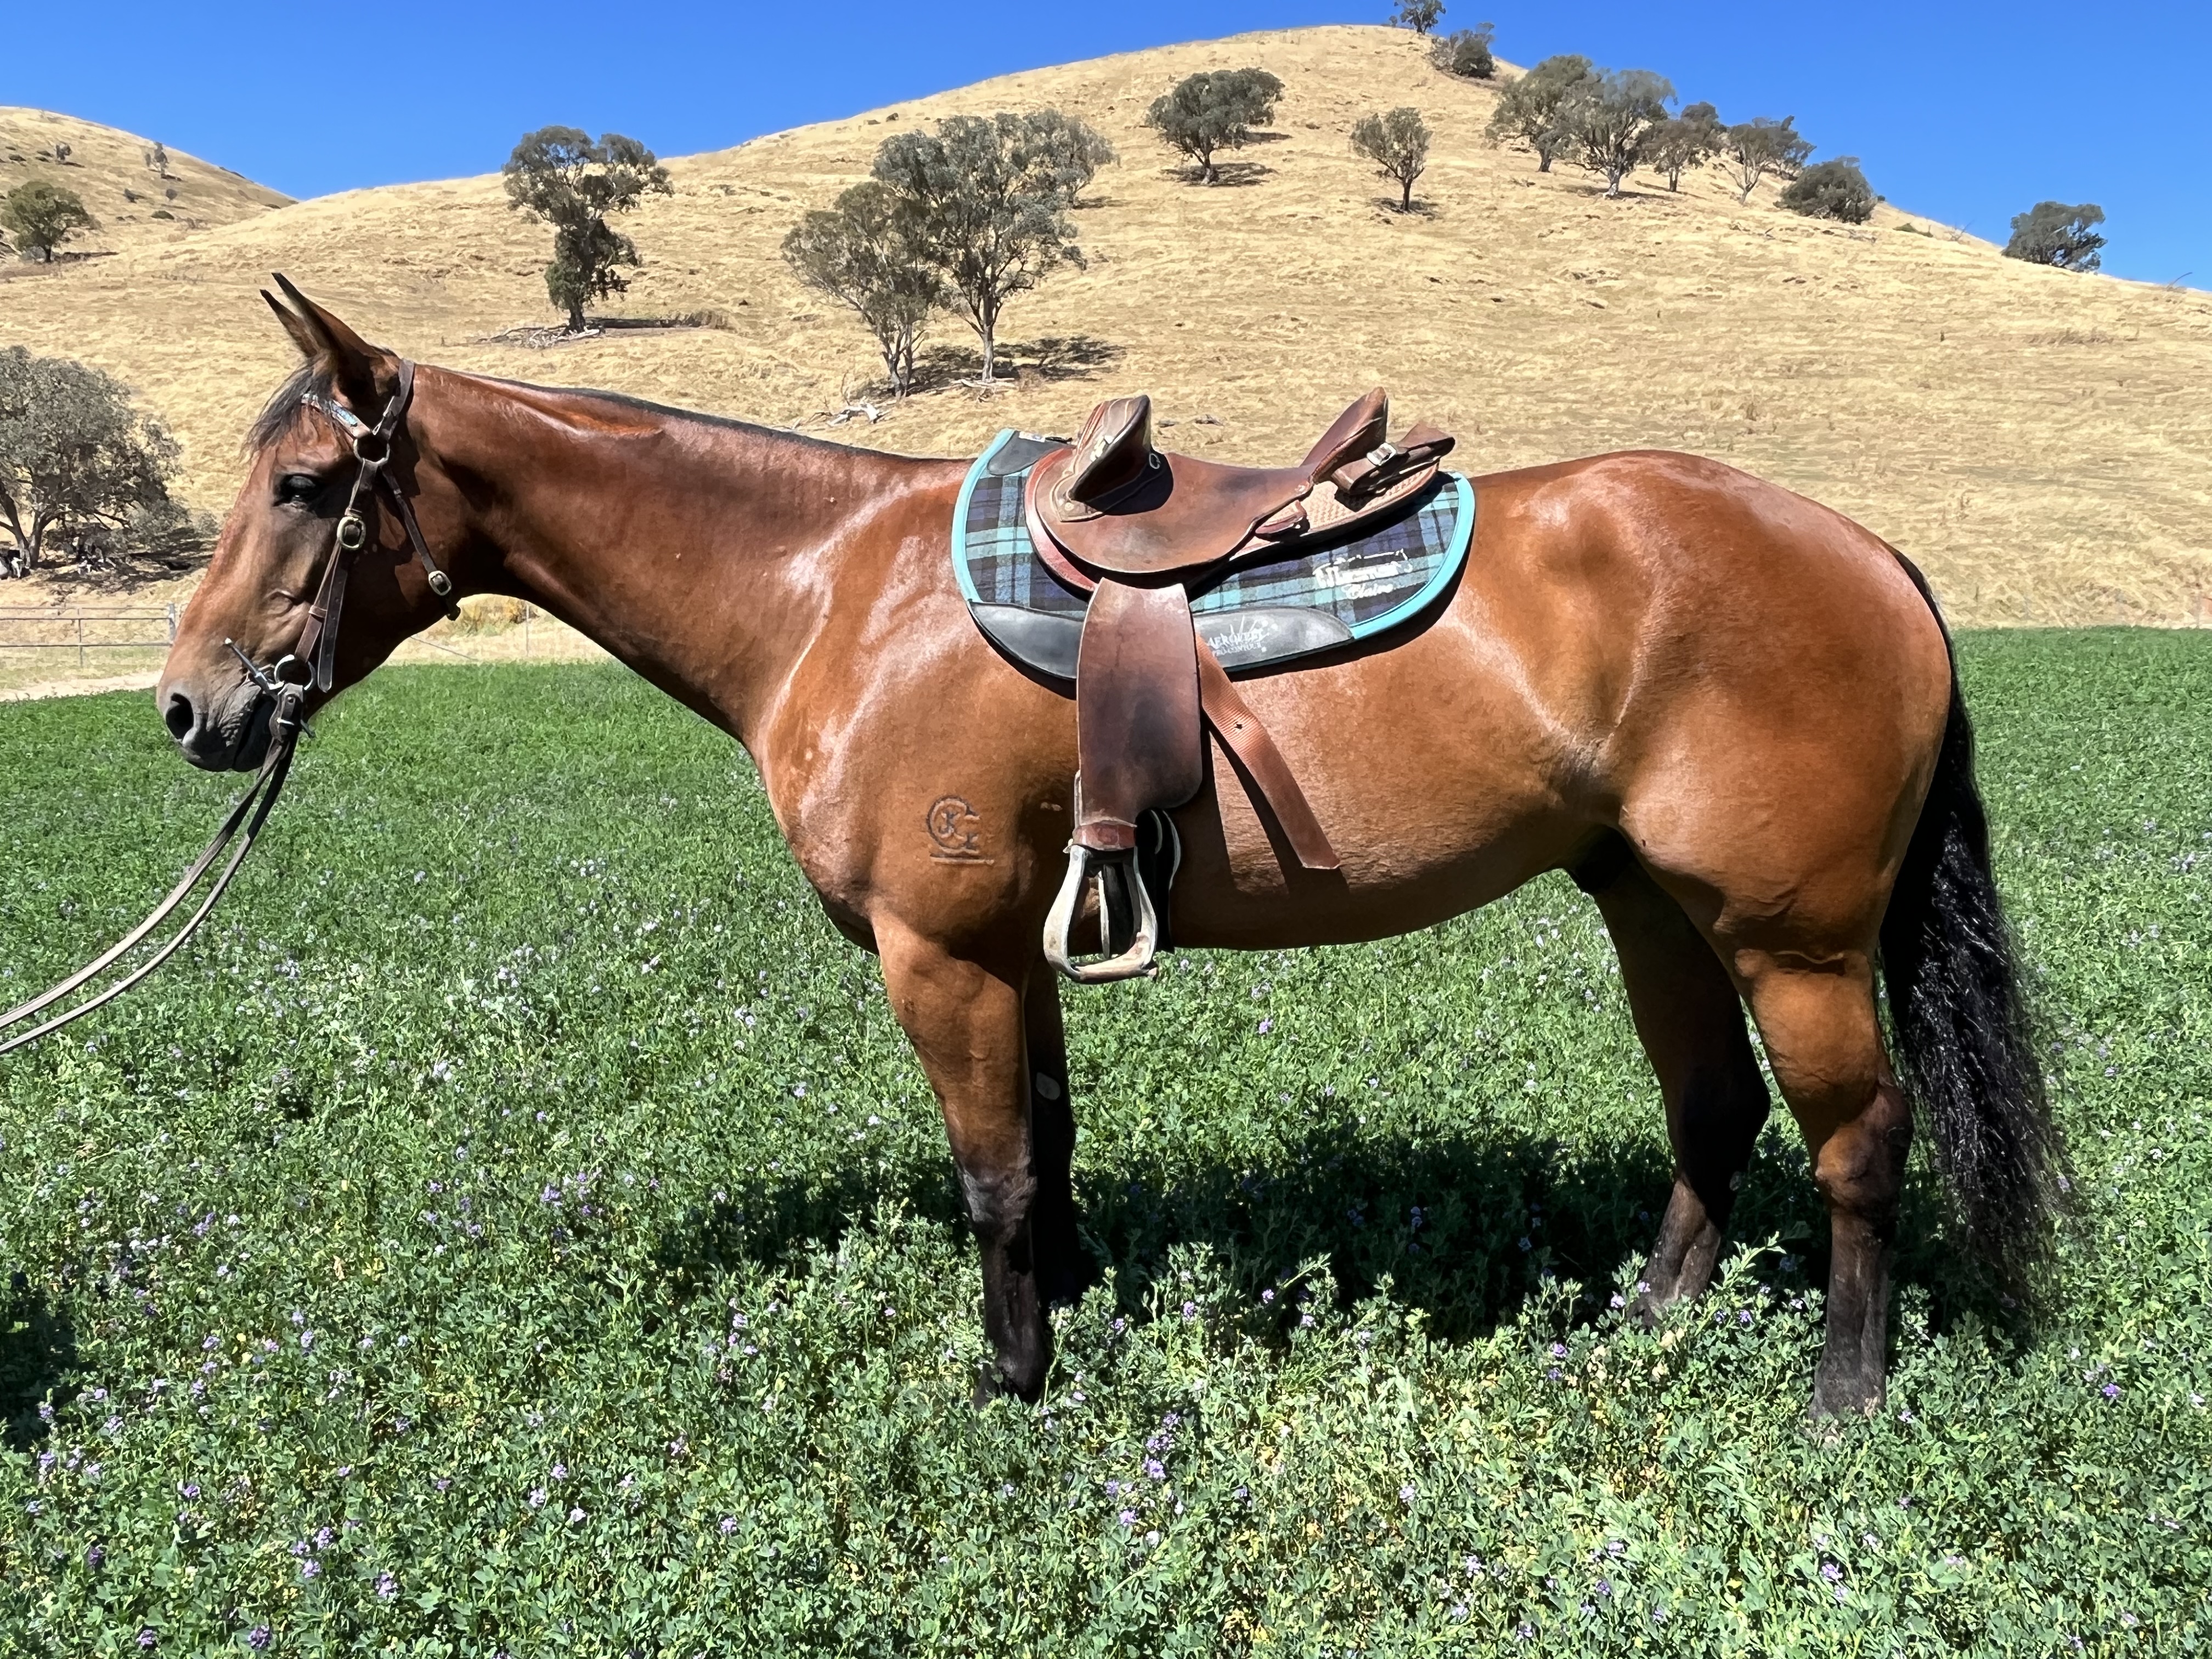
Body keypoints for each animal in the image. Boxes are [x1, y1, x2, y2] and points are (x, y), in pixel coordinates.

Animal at [157, 280, 2056, 1418]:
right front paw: (1071, 1305)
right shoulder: (1014, 943)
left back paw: (1846, 1389)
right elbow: (1049, 1145)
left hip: (1793, 935)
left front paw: (1012, 1381)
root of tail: (1872, 556)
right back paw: (1648, 1321)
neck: (832, 590)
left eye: (310, 489)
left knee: (1859, 1139)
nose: (193, 707)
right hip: (1650, 901)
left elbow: (990, 1169)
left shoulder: (939, 954)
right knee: (1711, 1109)